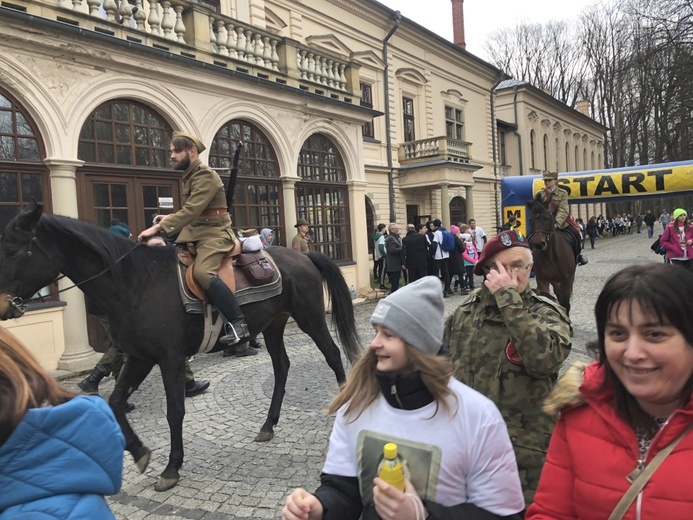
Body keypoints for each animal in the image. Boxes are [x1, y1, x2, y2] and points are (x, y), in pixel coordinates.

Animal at [0, 203, 362, 492]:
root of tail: (302, 255)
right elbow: (115, 403)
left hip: (310, 318)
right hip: (273, 326)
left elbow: (175, 411)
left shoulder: (168, 358)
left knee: (332, 355)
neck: (135, 282)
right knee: (282, 367)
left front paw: (171, 468)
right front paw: (139, 452)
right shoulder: (140, 357)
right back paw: (268, 425)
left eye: (14, 251)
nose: (4, 306)